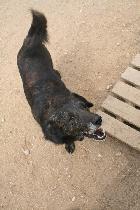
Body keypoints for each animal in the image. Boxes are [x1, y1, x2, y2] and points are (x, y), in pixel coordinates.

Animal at [17, 9, 105, 153]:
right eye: (71, 120)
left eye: (84, 106)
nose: (98, 119)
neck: (56, 102)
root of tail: (29, 41)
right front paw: (70, 144)